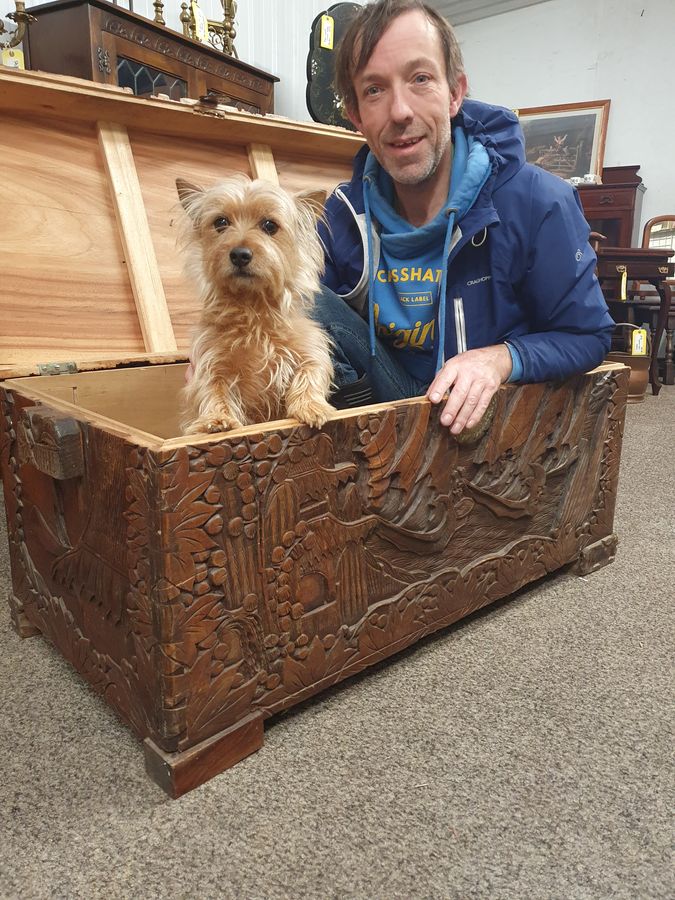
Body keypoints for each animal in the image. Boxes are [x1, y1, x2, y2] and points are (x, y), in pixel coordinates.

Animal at [174, 174, 332, 434]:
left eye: (269, 225)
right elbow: (212, 387)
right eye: (220, 222)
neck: (252, 310)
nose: (239, 254)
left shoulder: (309, 348)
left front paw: (312, 406)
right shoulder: (209, 360)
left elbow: (311, 371)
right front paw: (216, 418)